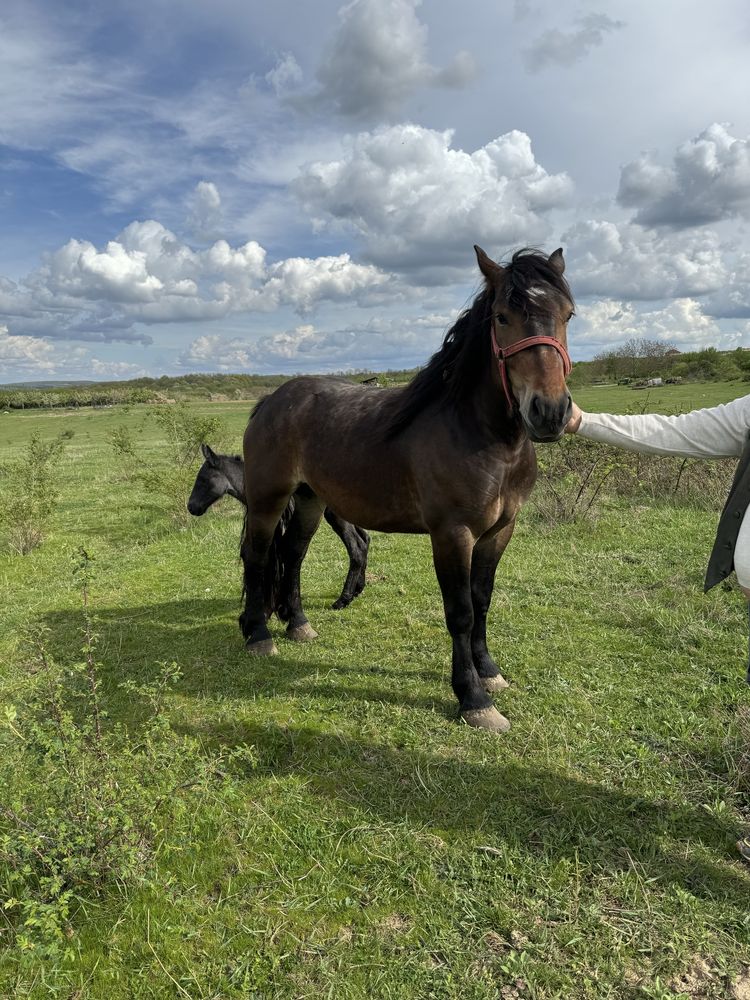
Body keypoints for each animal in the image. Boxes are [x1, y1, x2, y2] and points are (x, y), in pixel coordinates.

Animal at [188, 444, 370, 612]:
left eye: (203, 479)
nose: (191, 507)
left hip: (337, 517)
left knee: (357, 548)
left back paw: (343, 599)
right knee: (365, 539)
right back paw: (357, 589)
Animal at [241, 248, 576, 736]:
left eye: (568, 314)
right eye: (502, 317)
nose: (549, 412)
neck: (482, 435)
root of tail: (272, 400)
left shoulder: (499, 532)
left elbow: (482, 600)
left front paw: (489, 673)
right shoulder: (452, 535)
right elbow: (461, 611)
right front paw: (473, 699)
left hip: (309, 501)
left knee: (293, 555)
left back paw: (298, 624)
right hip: (269, 497)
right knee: (259, 555)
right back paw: (258, 634)